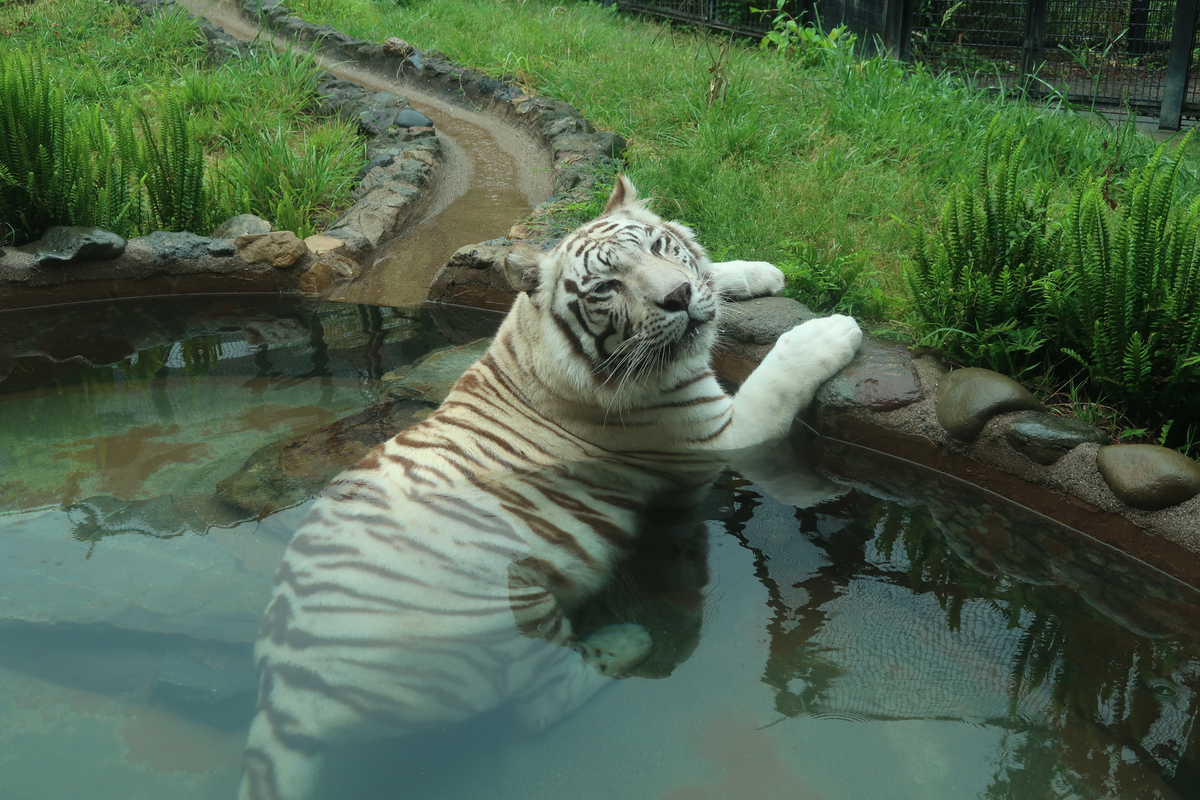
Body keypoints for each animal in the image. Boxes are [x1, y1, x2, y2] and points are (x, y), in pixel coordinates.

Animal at [241, 176, 864, 800]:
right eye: (608, 287)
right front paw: (832, 329)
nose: (680, 296)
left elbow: (717, 267)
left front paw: (757, 272)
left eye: (658, 247)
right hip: (504, 610)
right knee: (537, 704)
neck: (536, 337)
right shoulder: (717, 434)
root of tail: (287, 687)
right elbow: (777, 378)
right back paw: (631, 642)